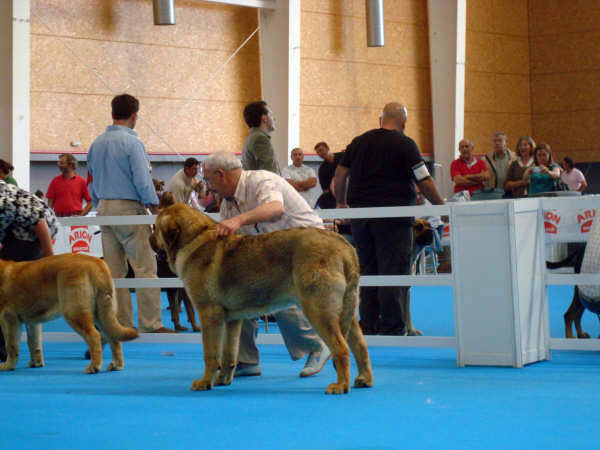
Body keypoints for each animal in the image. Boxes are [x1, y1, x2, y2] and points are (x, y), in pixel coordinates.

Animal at [0, 253, 137, 372]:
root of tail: (96, 262)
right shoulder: (32, 322)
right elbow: (34, 343)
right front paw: (36, 363)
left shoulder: (8, 318)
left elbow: (10, 345)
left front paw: (8, 365)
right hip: (103, 312)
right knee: (112, 337)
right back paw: (116, 365)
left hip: (74, 312)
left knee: (94, 336)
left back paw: (94, 366)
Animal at [150, 204, 372, 394]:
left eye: (157, 227)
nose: (150, 238)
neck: (193, 238)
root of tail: (345, 246)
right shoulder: (231, 320)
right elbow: (229, 352)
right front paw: (223, 379)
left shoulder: (208, 314)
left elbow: (211, 354)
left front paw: (205, 382)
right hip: (346, 311)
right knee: (360, 345)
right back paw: (364, 379)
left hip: (318, 310)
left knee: (341, 348)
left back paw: (340, 386)